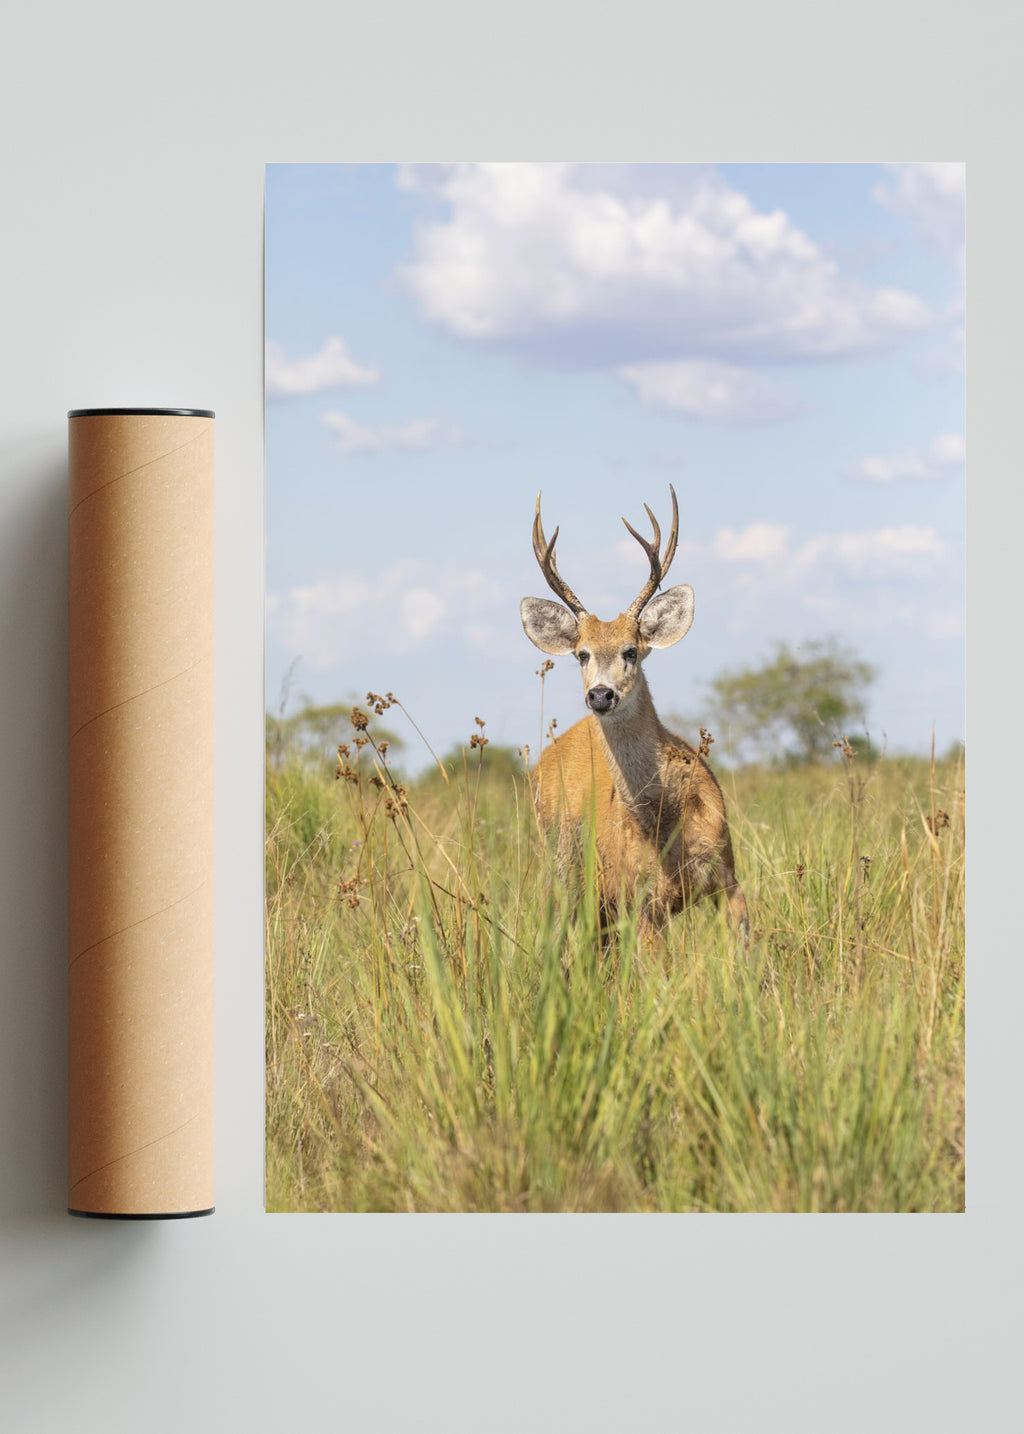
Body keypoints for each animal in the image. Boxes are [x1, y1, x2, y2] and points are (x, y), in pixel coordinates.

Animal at [520, 485, 749, 946]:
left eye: (631, 651)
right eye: (581, 654)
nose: (600, 694)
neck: (665, 822)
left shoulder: (728, 873)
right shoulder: (639, 899)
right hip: (562, 867)